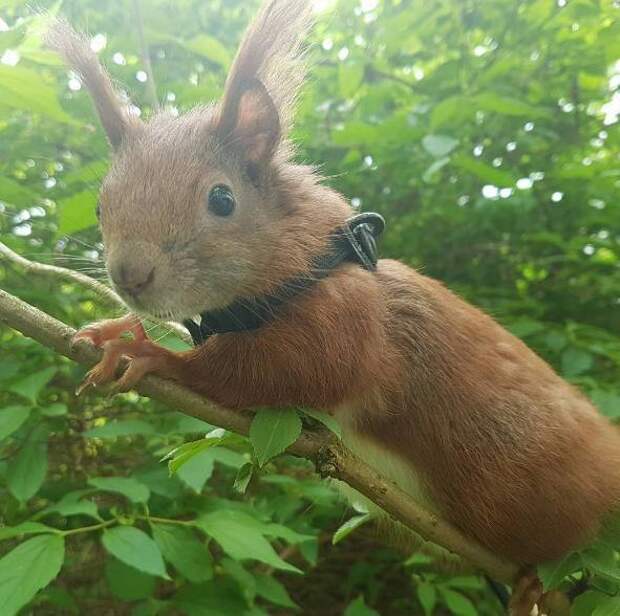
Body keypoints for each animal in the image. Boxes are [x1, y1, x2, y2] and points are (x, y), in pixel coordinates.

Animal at [47, 0, 620, 612]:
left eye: (222, 199)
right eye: (101, 206)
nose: (130, 276)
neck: (308, 268)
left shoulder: (346, 323)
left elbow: (277, 373)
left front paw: (149, 352)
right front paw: (116, 330)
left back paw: (539, 581)